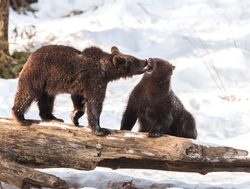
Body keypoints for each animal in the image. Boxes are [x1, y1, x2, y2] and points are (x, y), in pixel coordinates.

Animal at [12, 44, 148, 135]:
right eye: (135, 60)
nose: (145, 61)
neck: (105, 72)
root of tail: (30, 56)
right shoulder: (95, 81)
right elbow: (95, 104)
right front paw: (100, 129)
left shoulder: (80, 86)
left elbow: (79, 100)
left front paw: (75, 117)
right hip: (39, 74)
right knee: (27, 93)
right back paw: (19, 116)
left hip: (48, 84)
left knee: (47, 100)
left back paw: (52, 117)